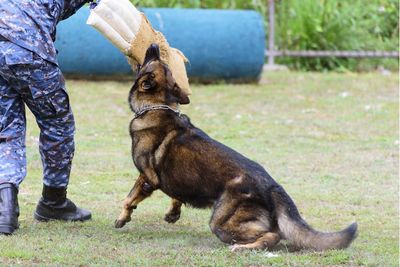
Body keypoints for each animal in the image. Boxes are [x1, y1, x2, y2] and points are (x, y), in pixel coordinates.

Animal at [114, 43, 358, 251]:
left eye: (151, 60)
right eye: (158, 61)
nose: (154, 45)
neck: (157, 106)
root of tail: (272, 186)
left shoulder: (147, 177)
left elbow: (129, 198)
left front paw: (122, 218)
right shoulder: (175, 180)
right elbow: (176, 194)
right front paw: (173, 213)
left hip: (221, 221)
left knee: (272, 236)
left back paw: (242, 248)